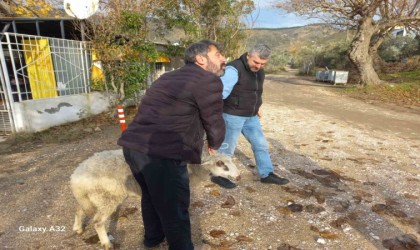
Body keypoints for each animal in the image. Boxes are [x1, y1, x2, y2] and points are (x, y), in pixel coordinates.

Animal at [69, 149, 240, 249]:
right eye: (220, 164)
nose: (239, 176)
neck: (195, 169)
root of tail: (76, 178)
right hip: (107, 197)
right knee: (98, 221)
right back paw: (106, 242)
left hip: (90, 197)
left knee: (79, 209)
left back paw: (77, 228)